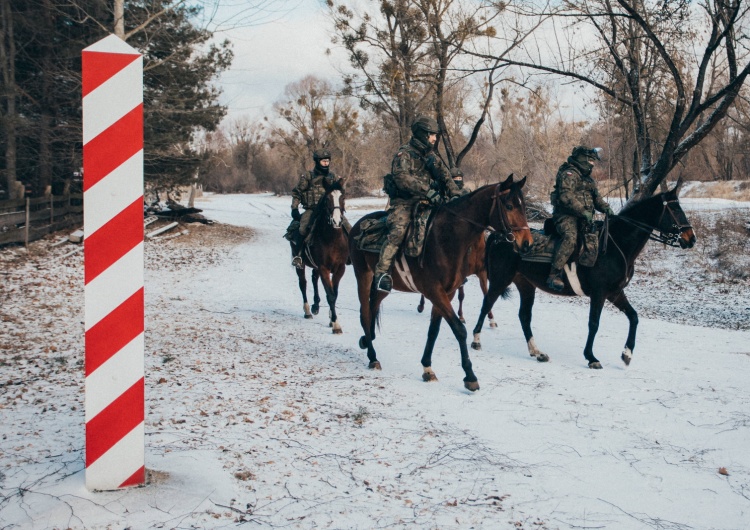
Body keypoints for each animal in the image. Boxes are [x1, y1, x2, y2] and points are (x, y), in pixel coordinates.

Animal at [296, 179, 352, 332]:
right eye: (327, 199)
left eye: (343, 198)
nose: (337, 221)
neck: (332, 239)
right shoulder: (324, 268)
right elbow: (330, 295)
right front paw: (336, 324)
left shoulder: (340, 268)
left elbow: (334, 293)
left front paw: (331, 319)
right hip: (300, 265)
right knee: (303, 284)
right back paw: (308, 311)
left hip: (316, 267)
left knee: (314, 279)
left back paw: (315, 306)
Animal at [352, 175, 536, 390]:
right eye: (508, 206)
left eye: (523, 206)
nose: (527, 243)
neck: (446, 238)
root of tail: (358, 225)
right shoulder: (434, 291)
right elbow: (459, 329)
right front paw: (470, 376)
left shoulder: (447, 293)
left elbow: (434, 330)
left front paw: (427, 368)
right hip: (363, 276)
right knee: (365, 314)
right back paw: (372, 356)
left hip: (383, 286)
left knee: (373, 307)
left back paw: (367, 340)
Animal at [472, 177, 696, 368]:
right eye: (675, 209)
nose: (691, 238)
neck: (614, 245)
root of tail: (500, 236)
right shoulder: (599, 293)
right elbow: (594, 323)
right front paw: (591, 357)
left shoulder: (615, 293)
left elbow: (633, 317)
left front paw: (627, 354)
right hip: (501, 280)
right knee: (486, 304)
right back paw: (476, 340)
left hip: (526, 285)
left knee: (524, 316)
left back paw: (537, 352)